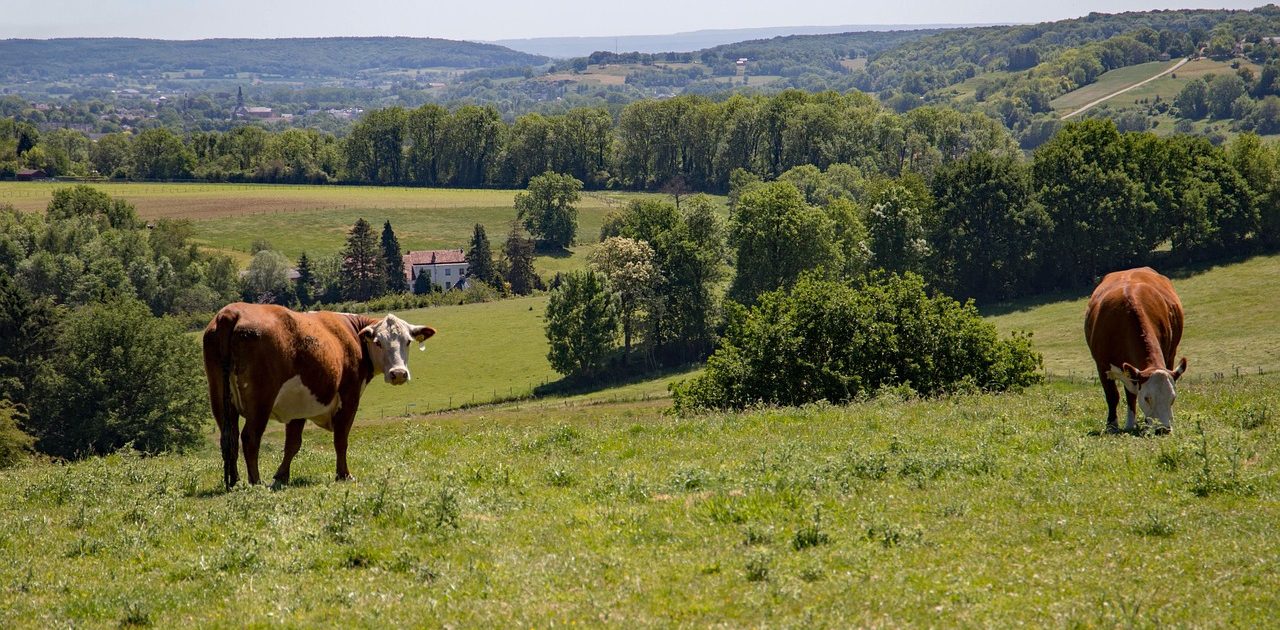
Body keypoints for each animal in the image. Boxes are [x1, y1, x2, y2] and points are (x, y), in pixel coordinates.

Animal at [202, 303, 435, 489]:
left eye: (407, 341)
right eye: (378, 342)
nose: (399, 373)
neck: (352, 335)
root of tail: (231, 312)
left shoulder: (297, 406)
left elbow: (293, 444)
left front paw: (281, 476)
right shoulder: (349, 398)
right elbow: (341, 440)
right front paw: (343, 474)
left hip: (220, 399)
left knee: (229, 438)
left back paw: (234, 482)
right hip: (260, 402)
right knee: (250, 437)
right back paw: (256, 482)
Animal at [1084, 267, 1188, 434]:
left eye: (1173, 397)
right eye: (1147, 398)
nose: (1163, 429)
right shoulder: (1102, 365)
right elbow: (1112, 396)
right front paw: (1111, 425)